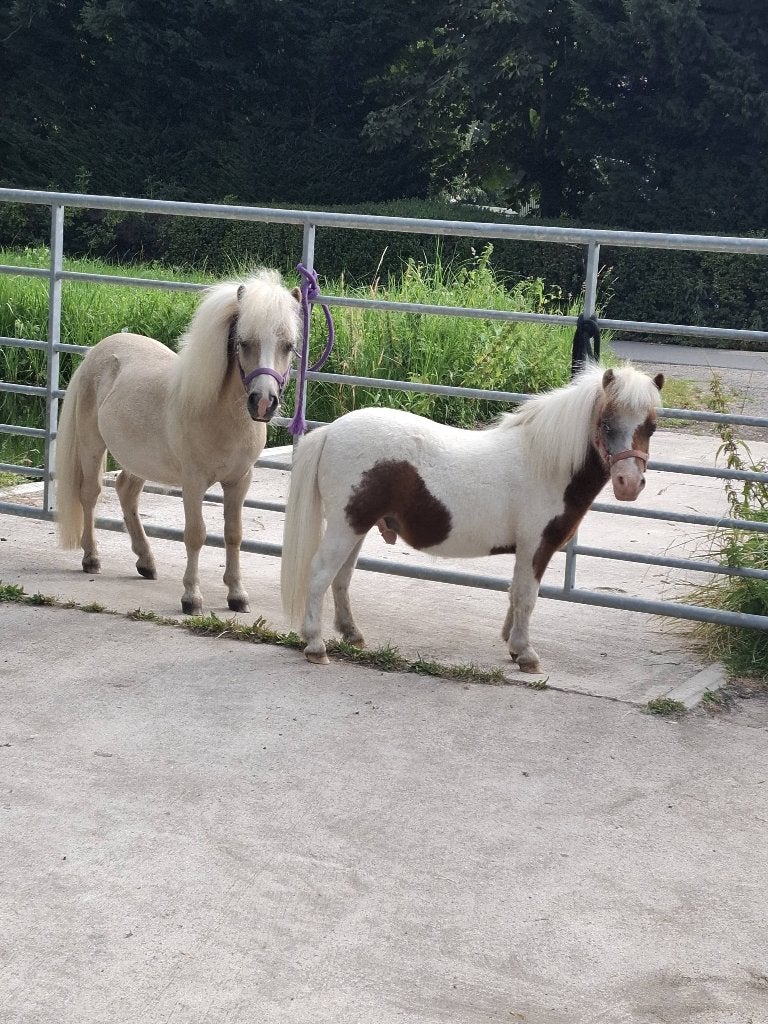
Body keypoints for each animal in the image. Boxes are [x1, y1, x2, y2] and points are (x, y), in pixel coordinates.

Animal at [55, 268, 302, 615]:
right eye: (243, 342)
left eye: (288, 346)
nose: (263, 402)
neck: (219, 414)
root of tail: (99, 350)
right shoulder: (193, 482)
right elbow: (196, 535)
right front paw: (191, 598)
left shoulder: (240, 481)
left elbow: (234, 534)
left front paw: (237, 595)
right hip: (92, 446)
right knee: (90, 495)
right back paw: (92, 558)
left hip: (139, 459)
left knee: (126, 492)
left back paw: (146, 562)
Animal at [280, 363, 664, 671]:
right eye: (606, 424)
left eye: (651, 427)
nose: (629, 484)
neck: (544, 464)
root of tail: (331, 431)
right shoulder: (535, 546)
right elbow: (526, 596)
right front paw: (526, 654)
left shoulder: (528, 550)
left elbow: (515, 594)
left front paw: (513, 644)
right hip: (346, 527)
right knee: (320, 574)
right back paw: (315, 645)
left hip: (357, 528)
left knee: (341, 578)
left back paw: (353, 635)